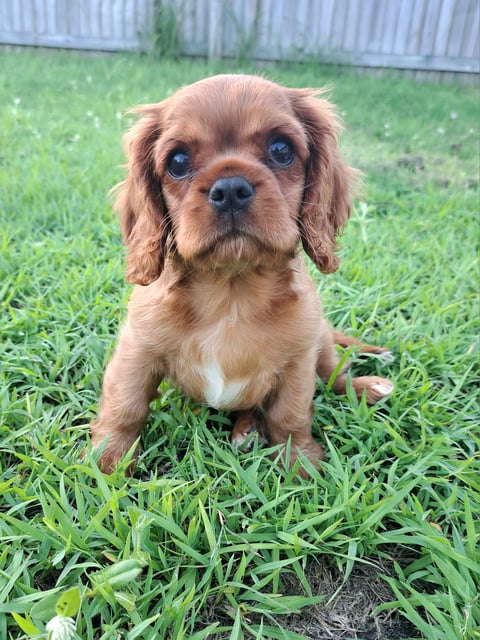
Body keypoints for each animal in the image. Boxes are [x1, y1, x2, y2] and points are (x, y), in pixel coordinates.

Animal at [90, 75, 394, 476]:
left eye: (281, 149)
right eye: (178, 162)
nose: (231, 188)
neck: (231, 292)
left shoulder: (299, 359)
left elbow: (291, 414)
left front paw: (300, 463)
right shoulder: (137, 349)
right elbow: (125, 403)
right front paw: (106, 461)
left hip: (321, 341)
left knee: (334, 375)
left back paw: (365, 388)